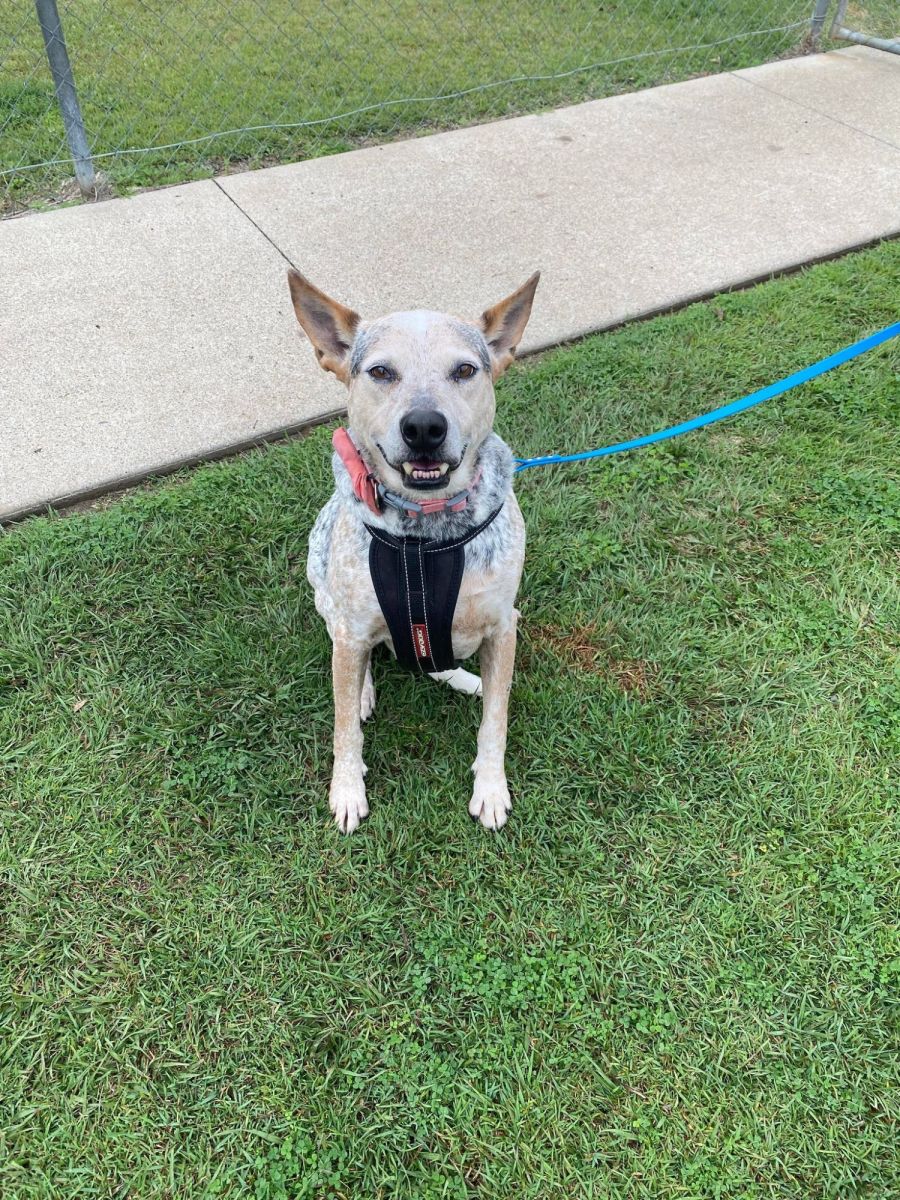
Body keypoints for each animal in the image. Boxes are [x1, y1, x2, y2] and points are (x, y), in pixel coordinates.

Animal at [288, 268, 539, 833]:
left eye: (465, 369)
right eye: (381, 372)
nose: (424, 426)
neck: (426, 533)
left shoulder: (504, 624)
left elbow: (496, 720)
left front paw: (491, 787)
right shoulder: (352, 625)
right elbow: (343, 729)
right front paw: (347, 789)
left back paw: (460, 675)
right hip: (325, 596)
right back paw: (364, 687)